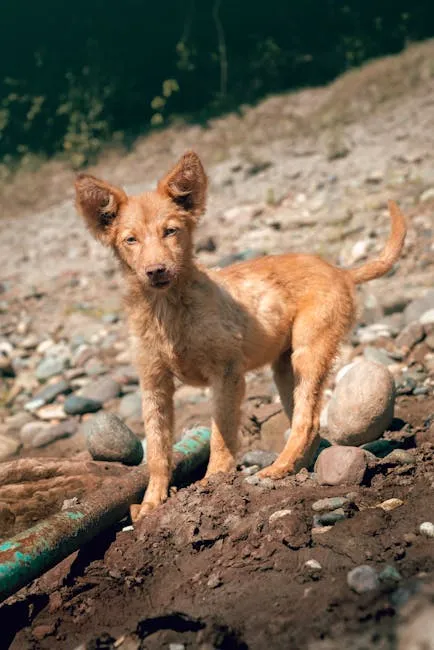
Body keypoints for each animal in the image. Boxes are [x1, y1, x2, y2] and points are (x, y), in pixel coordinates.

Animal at [74, 149, 406, 520]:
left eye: (170, 231)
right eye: (130, 239)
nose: (156, 271)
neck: (168, 310)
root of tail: (339, 270)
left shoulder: (227, 373)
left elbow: (221, 434)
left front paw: (213, 483)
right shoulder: (154, 383)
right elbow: (158, 450)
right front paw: (151, 504)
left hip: (309, 352)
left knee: (307, 421)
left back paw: (277, 469)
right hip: (284, 369)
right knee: (309, 424)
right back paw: (294, 469)